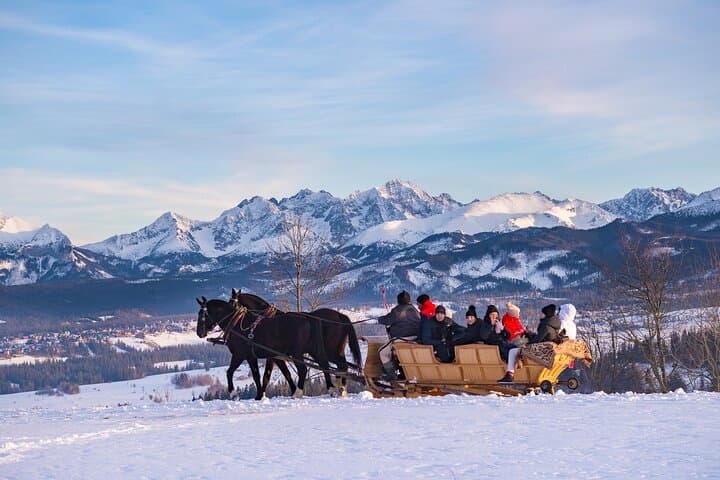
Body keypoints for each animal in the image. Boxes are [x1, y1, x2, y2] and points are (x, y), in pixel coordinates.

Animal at [195, 296, 330, 400]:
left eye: (202, 314)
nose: (199, 333)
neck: (236, 324)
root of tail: (306, 317)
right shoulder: (254, 356)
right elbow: (260, 375)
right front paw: (260, 395)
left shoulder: (240, 355)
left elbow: (230, 372)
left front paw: (234, 394)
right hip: (312, 350)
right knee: (324, 364)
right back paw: (331, 389)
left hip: (296, 352)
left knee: (303, 369)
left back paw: (298, 393)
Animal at [230, 288, 362, 397]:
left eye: (232, 302)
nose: (232, 320)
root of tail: (340, 316)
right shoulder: (274, 356)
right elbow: (275, 374)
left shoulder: (274, 356)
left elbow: (269, 375)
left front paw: (261, 394)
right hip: (334, 350)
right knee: (340, 365)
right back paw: (341, 388)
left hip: (330, 350)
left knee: (338, 365)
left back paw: (339, 388)